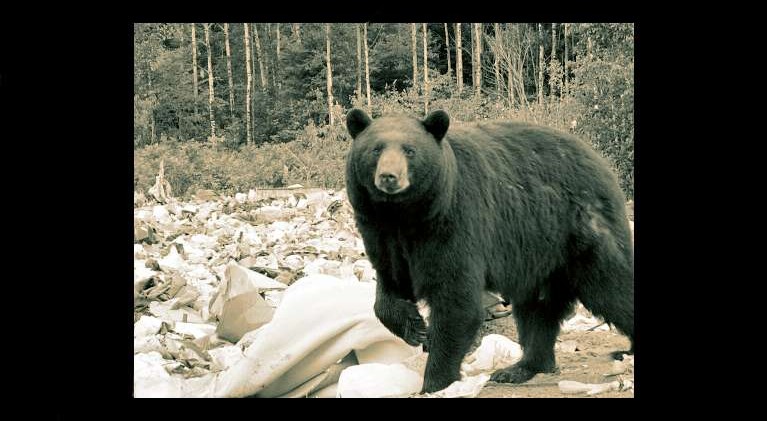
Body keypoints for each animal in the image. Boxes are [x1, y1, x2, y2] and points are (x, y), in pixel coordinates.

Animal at [344, 108, 634, 394]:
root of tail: (600, 164)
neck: (403, 215)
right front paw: (415, 327)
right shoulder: (380, 233)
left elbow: (455, 299)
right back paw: (520, 368)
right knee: (537, 310)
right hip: (538, 254)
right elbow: (389, 288)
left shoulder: (454, 222)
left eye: (410, 150)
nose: (388, 177)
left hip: (580, 231)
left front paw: (435, 382)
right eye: (375, 149)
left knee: (612, 287)